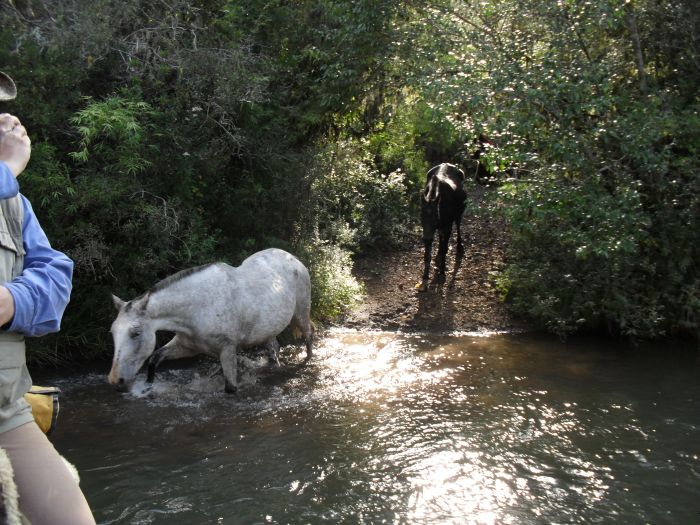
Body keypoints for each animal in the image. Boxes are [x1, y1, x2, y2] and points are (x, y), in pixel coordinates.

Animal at [107, 248, 314, 390]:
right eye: (113, 332)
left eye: (135, 333)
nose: (115, 380)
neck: (197, 308)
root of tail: (293, 259)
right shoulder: (186, 346)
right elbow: (154, 359)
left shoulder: (227, 350)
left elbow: (230, 388)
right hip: (268, 330)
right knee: (274, 348)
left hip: (301, 314)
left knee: (309, 334)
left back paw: (308, 359)